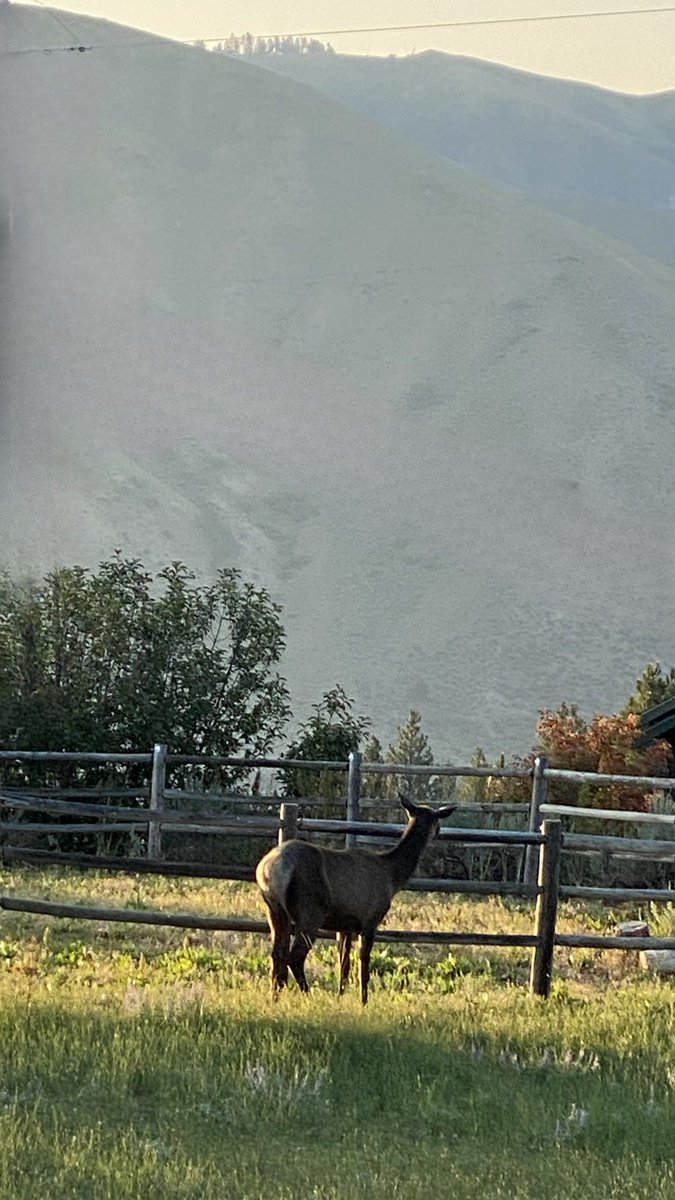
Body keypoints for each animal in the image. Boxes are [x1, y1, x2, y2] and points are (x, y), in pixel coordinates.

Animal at [255, 795, 456, 1005]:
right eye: (437, 819)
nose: (439, 833)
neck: (392, 877)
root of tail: (269, 869)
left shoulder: (345, 925)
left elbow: (344, 965)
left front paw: (340, 997)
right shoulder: (370, 921)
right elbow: (363, 967)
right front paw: (363, 1002)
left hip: (274, 910)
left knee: (277, 954)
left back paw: (274, 998)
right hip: (310, 910)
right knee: (295, 957)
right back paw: (308, 996)